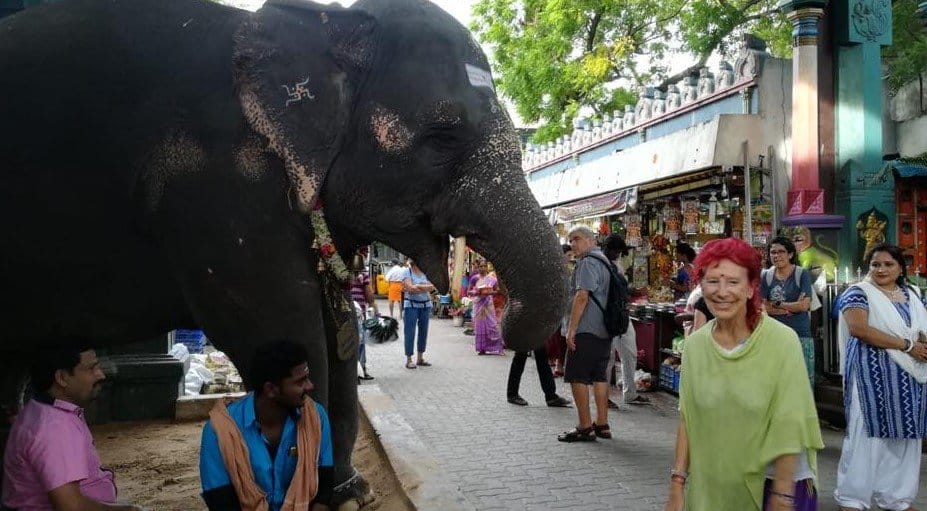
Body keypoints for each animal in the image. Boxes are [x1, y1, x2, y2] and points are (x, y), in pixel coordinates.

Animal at [0, 0, 564, 506]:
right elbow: (285, 330)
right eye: (444, 134)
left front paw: (349, 493)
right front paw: (315, 493)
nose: (489, 308)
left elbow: (338, 332)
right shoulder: (219, 187)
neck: (321, 23)